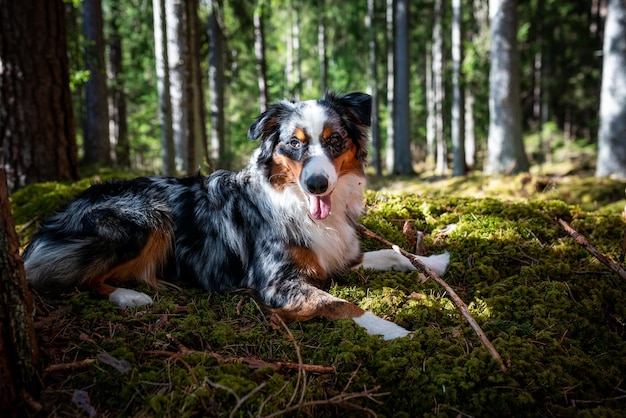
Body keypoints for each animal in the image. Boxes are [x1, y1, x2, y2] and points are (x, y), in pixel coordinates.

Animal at [22, 91, 446, 340]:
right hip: (146, 217)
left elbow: (389, 253)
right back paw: (130, 297)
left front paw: (434, 261)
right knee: (76, 279)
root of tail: (54, 219)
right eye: (294, 144)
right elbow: (343, 304)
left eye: (335, 140)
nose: (316, 185)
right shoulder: (274, 282)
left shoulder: (333, 254)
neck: (294, 201)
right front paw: (390, 328)